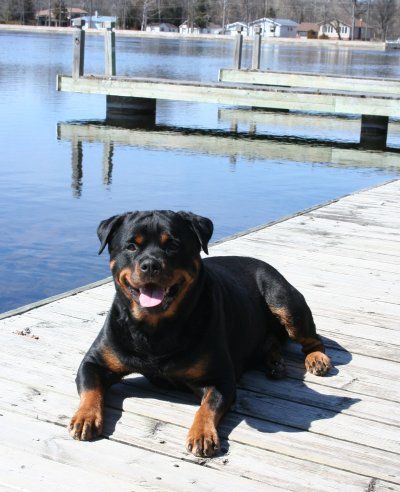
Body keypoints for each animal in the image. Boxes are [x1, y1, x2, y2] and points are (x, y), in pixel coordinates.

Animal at [69, 210, 331, 457]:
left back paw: (316, 359)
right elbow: (91, 389)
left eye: (173, 245)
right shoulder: (94, 362)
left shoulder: (220, 378)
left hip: (284, 301)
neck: (155, 329)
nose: (151, 264)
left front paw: (202, 434)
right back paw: (275, 362)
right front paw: (85, 417)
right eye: (131, 246)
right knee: (273, 342)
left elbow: (208, 407)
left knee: (312, 339)